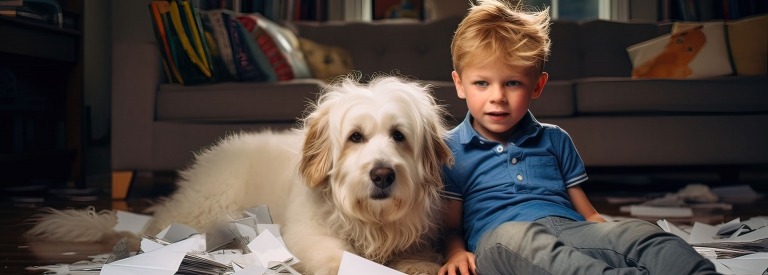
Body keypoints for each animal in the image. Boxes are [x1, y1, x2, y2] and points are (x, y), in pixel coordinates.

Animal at [27, 76, 452, 275]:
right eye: (355, 137)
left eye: (399, 136)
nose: (382, 175)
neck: (370, 221)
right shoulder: (305, 233)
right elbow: (331, 254)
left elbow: (417, 255)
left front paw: (418, 264)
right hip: (209, 208)